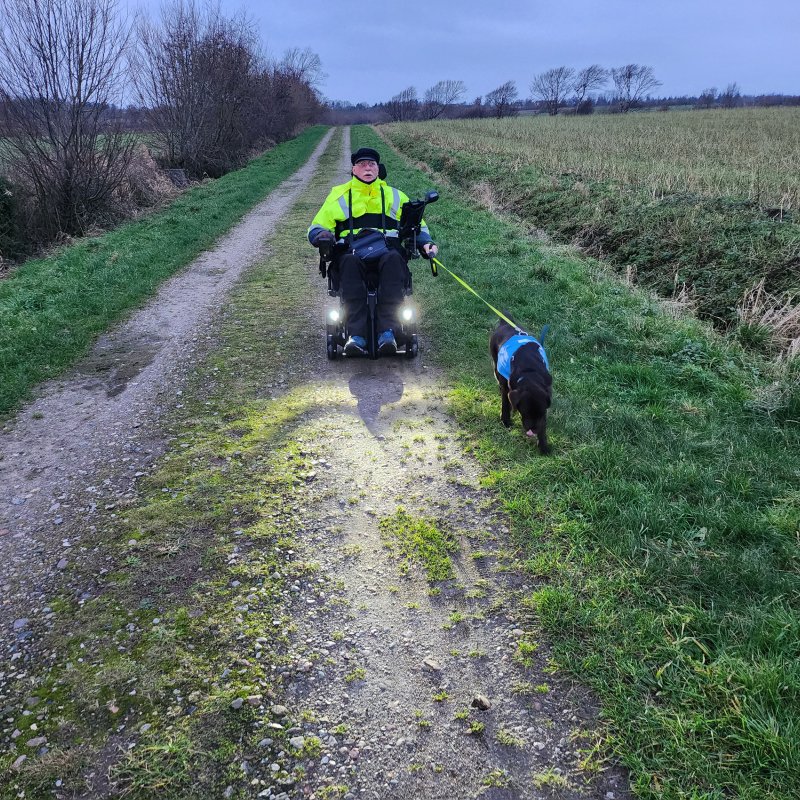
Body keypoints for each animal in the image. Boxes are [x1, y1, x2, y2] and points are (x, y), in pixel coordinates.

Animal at [490, 320, 552, 456]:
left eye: (541, 413)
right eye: (524, 412)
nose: (532, 430)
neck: (530, 372)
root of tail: (505, 323)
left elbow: (543, 424)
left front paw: (543, 446)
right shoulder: (507, 387)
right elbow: (505, 404)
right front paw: (506, 420)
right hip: (496, 364)